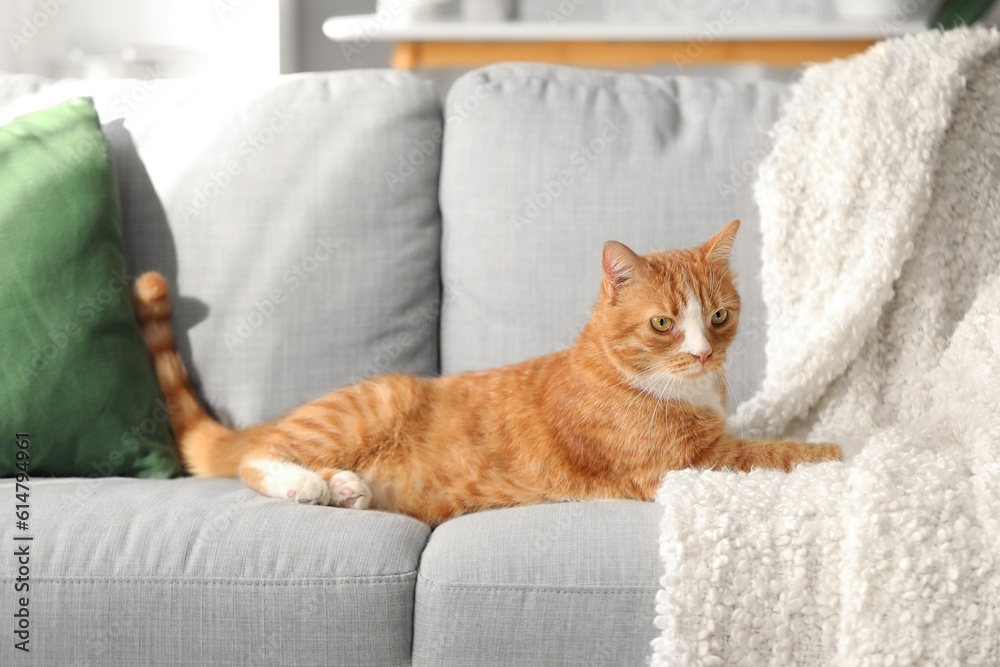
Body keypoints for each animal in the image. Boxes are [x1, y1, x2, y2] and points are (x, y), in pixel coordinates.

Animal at [131, 220, 836, 528]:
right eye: (664, 324)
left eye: (718, 316)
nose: (703, 354)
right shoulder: (691, 463)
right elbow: (783, 452)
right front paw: (845, 446)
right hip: (370, 403)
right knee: (259, 459)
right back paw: (307, 485)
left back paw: (347, 489)